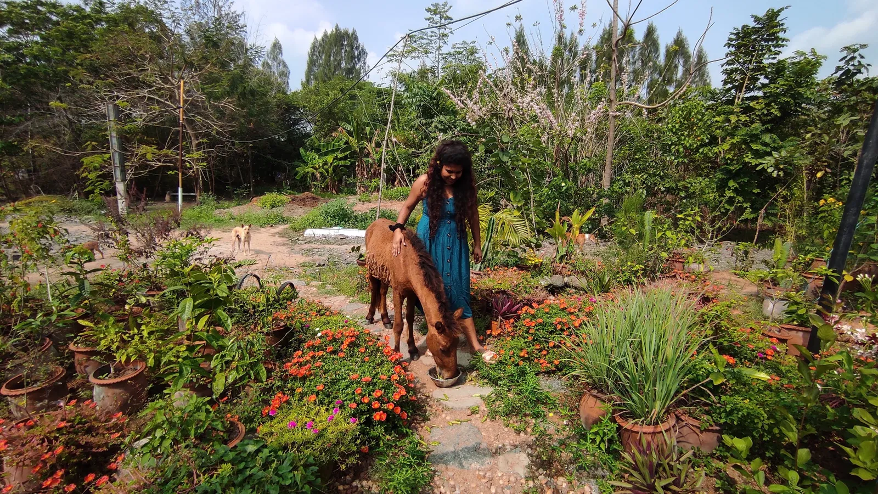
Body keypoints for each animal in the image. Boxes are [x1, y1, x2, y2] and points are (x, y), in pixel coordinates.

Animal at [364, 220, 464, 378]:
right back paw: (369, 317)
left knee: (382, 291)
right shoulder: (398, 292)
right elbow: (399, 324)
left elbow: (410, 319)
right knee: (374, 290)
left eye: (457, 343)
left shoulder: (412, 293)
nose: (451, 375)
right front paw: (396, 354)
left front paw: (413, 350)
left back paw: (385, 320)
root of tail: (374, 223)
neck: (406, 261)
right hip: (371, 269)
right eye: (443, 348)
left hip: (384, 274)